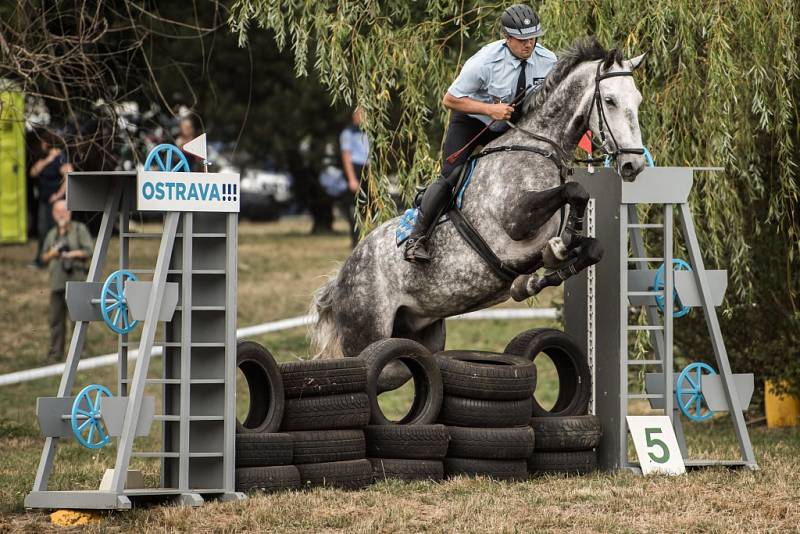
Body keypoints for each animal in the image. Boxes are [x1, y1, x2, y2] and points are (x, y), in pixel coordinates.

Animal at [310, 37, 648, 384]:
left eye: (637, 99)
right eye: (609, 100)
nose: (633, 164)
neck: (539, 147)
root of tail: (339, 279)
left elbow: (591, 247)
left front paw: (546, 265)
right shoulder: (516, 219)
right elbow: (574, 192)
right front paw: (553, 254)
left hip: (422, 334)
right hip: (368, 337)